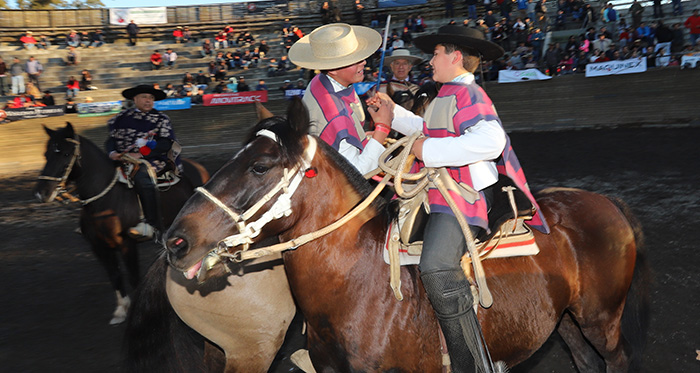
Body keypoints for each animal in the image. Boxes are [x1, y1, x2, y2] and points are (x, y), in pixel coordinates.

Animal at [33, 123, 208, 324]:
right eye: (46, 154)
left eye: (65, 154)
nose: (41, 193)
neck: (105, 200)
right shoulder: (99, 247)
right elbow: (115, 276)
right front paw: (121, 310)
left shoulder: (126, 244)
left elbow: (133, 277)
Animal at [163, 100, 652, 370]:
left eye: (261, 166)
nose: (176, 240)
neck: (360, 283)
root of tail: (608, 202)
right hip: (566, 319)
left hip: (602, 319)